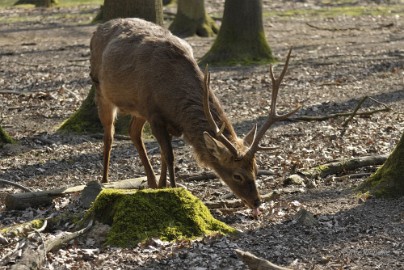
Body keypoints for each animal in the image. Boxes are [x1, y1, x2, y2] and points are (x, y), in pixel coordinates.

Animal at [90, 18, 300, 217]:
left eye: (256, 169)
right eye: (237, 175)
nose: (257, 202)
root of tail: (99, 27)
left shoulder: (166, 118)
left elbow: (164, 155)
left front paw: (161, 185)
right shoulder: (154, 113)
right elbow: (169, 155)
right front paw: (174, 192)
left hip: (137, 109)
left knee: (133, 132)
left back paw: (150, 181)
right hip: (100, 89)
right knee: (109, 134)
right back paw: (105, 181)